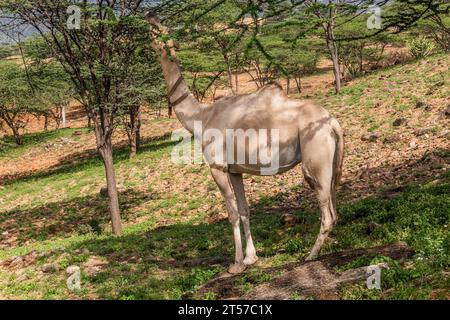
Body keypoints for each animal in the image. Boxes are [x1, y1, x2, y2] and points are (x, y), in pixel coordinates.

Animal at [148, 13, 344, 276]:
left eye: (159, 32)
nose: (150, 16)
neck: (201, 117)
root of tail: (333, 123)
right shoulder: (236, 170)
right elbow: (245, 210)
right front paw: (252, 257)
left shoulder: (217, 167)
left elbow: (231, 213)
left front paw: (237, 263)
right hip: (333, 162)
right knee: (334, 203)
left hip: (316, 158)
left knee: (327, 210)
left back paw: (310, 256)